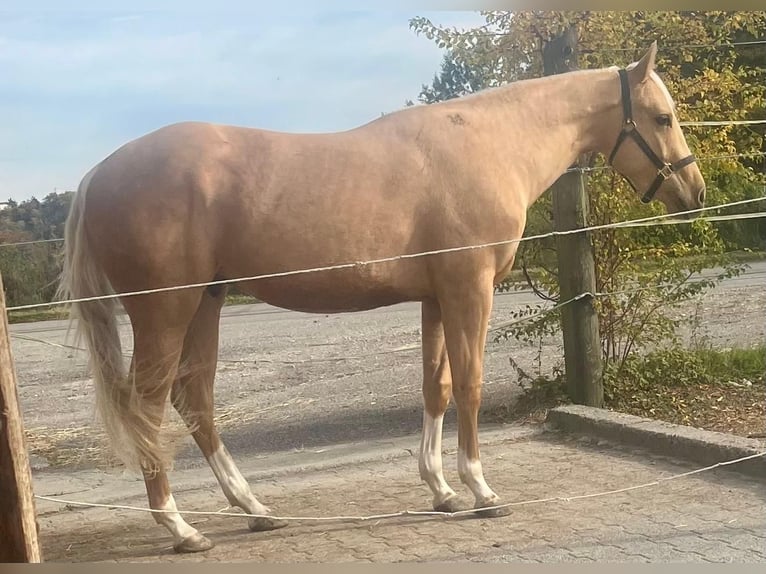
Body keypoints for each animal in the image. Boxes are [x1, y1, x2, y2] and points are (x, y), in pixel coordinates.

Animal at [58, 42, 704, 553]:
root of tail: (94, 175)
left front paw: (442, 490)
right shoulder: (469, 290)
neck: (489, 144)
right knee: (148, 408)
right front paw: (480, 490)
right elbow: (469, 386)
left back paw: (256, 510)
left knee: (196, 400)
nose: (694, 194)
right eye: (662, 116)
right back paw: (182, 529)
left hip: (206, 305)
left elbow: (436, 387)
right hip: (167, 311)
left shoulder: (436, 297)